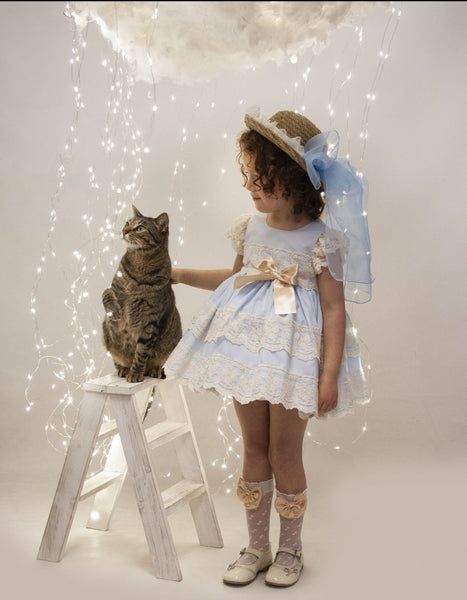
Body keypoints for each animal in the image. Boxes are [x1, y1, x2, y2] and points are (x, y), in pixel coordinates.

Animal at [102, 206, 182, 382]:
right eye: (127, 223)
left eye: (140, 228)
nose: (124, 231)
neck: (140, 263)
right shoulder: (113, 288)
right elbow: (106, 294)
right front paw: (114, 311)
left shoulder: (150, 321)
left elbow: (141, 353)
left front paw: (135, 373)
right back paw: (123, 369)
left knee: (156, 363)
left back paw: (153, 370)